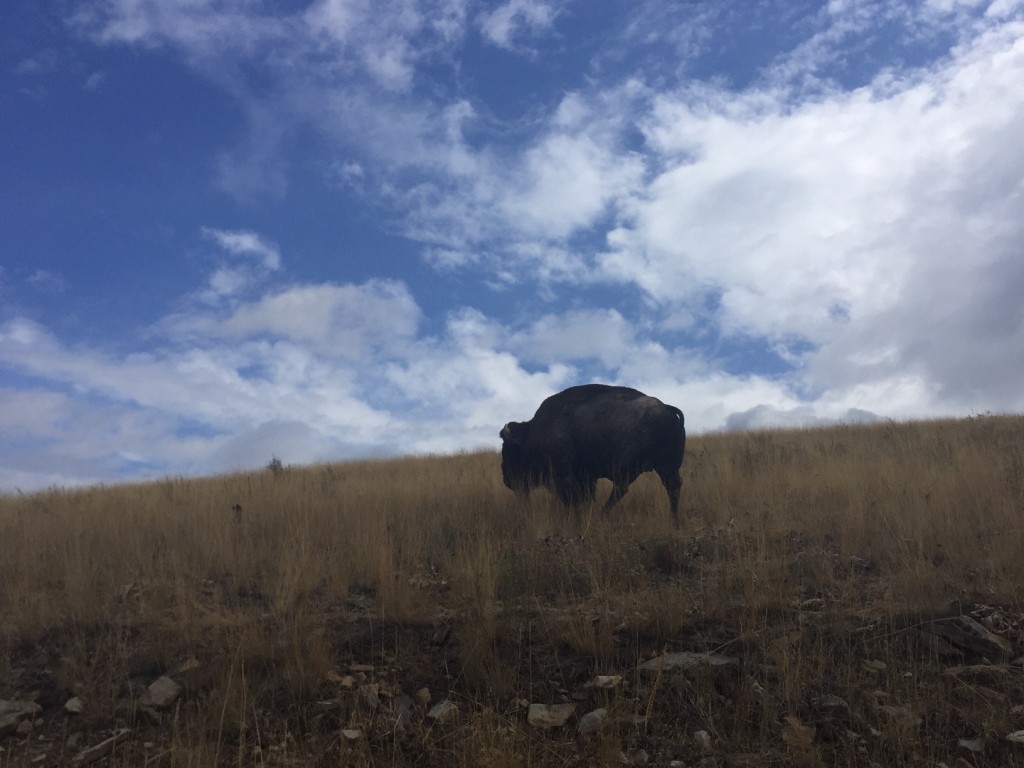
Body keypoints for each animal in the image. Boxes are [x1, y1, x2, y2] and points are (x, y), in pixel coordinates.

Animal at [497, 385, 684, 524]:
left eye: (508, 449)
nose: (507, 480)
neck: (534, 433)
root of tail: (666, 408)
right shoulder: (586, 478)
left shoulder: (567, 477)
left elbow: (574, 500)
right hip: (666, 467)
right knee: (672, 487)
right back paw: (674, 521)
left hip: (626, 467)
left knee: (620, 489)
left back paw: (602, 515)